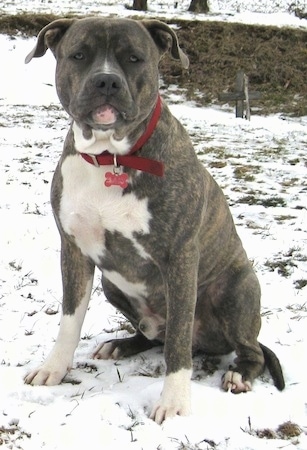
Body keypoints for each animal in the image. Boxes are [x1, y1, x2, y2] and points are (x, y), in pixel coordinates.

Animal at [24, 17, 286, 424]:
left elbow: (177, 341)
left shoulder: (179, 260)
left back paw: (240, 374)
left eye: (135, 58)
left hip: (236, 287)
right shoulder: (75, 251)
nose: (106, 81)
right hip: (113, 286)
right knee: (152, 336)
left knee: (246, 348)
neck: (111, 157)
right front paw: (54, 368)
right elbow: (69, 320)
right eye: (79, 55)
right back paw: (121, 345)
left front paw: (175, 402)